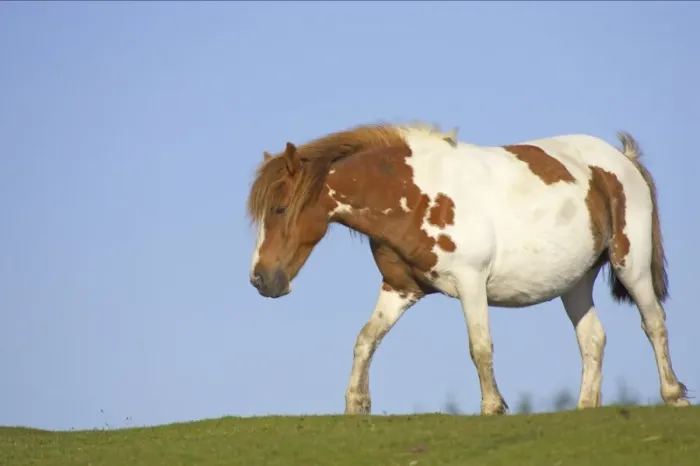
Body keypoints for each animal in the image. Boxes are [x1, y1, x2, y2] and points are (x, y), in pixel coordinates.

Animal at [245, 121, 689, 415]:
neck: (416, 193)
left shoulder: (472, 282)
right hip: (575, 283)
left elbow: (480, 346)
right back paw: (585, 408)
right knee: (593, 339)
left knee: (654, 321)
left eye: (280, 208)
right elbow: (365, 339)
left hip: (630, 264)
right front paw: (356, 404)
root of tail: (622, 160)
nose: (260, 279)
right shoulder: (399, 288)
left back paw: (673, 394)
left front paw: (493, 406)